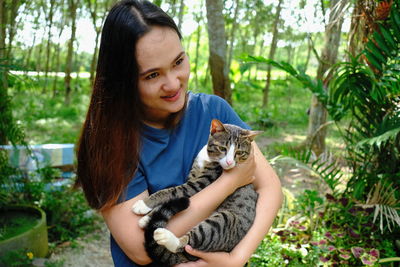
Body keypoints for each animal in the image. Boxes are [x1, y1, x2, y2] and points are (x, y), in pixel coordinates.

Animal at [133, 120, 260, 266]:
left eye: (239, 152)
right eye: (222, 148)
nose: (229, 162)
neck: (208, 159)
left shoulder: (200, 184)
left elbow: (171, 191)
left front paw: (143, 205)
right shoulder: (192, 175)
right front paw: (146, 218)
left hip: (223, 222)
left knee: (191, 240)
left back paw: (166, 237)